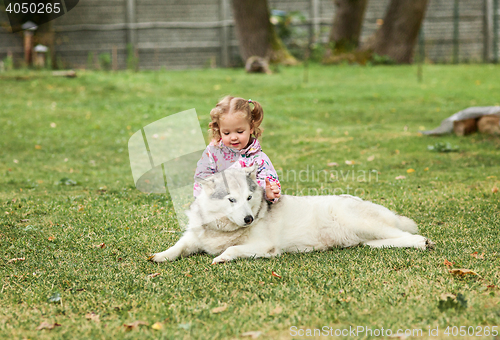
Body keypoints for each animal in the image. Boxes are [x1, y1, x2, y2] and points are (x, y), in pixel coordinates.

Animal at [151, 164, 434, 262]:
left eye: (249, 198)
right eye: (231, 200)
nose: (248, 219)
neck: (222, 230)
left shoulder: (264, 247)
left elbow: (231, 250)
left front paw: (221, 258)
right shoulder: (193, 239)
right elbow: (177, 247)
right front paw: (160, 256)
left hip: (362, 223)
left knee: (409, 236)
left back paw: (423, 242)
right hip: (367, 238)